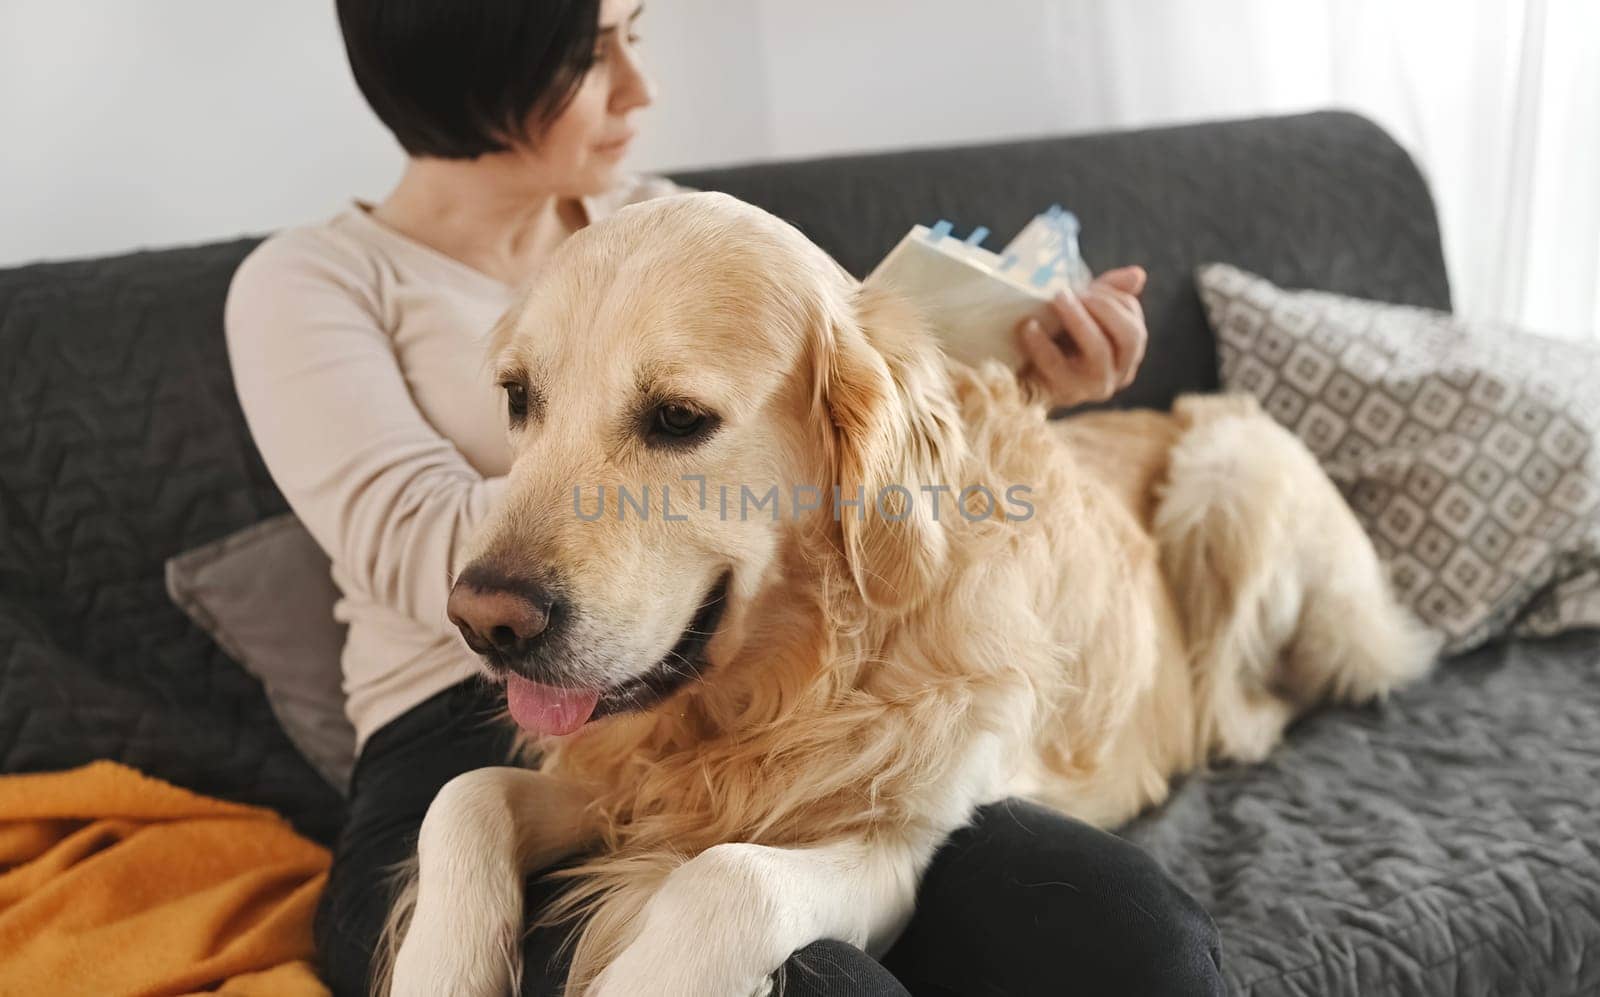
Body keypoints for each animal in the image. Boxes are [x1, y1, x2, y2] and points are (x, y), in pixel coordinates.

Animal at [380, 191, 1433, 992]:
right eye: (518, 398)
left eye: (678, 418)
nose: (484, 621)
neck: (792, 674)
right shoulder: (620, 770)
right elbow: (462, 798)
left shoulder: (901, 842)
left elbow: (729, 879)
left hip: (1234, 466)